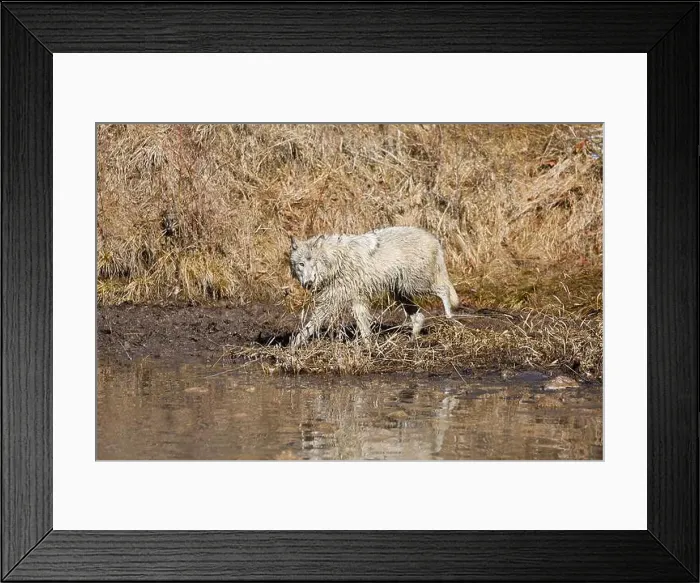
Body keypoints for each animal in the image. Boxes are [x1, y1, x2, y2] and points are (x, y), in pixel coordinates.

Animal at [289, 226, 459, 348]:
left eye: (314, 264)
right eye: (301, 264)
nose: (308, 283)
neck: (336, 260)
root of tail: (434, 239)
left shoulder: (332, 301)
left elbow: (309, 326)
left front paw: (292, 347)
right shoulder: (357, 300)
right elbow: (364, 327)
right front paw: (369, 347)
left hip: (415, 286)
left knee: (444, 290)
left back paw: (449, 317)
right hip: (402, 293)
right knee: (419, 317)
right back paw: (412, 340)